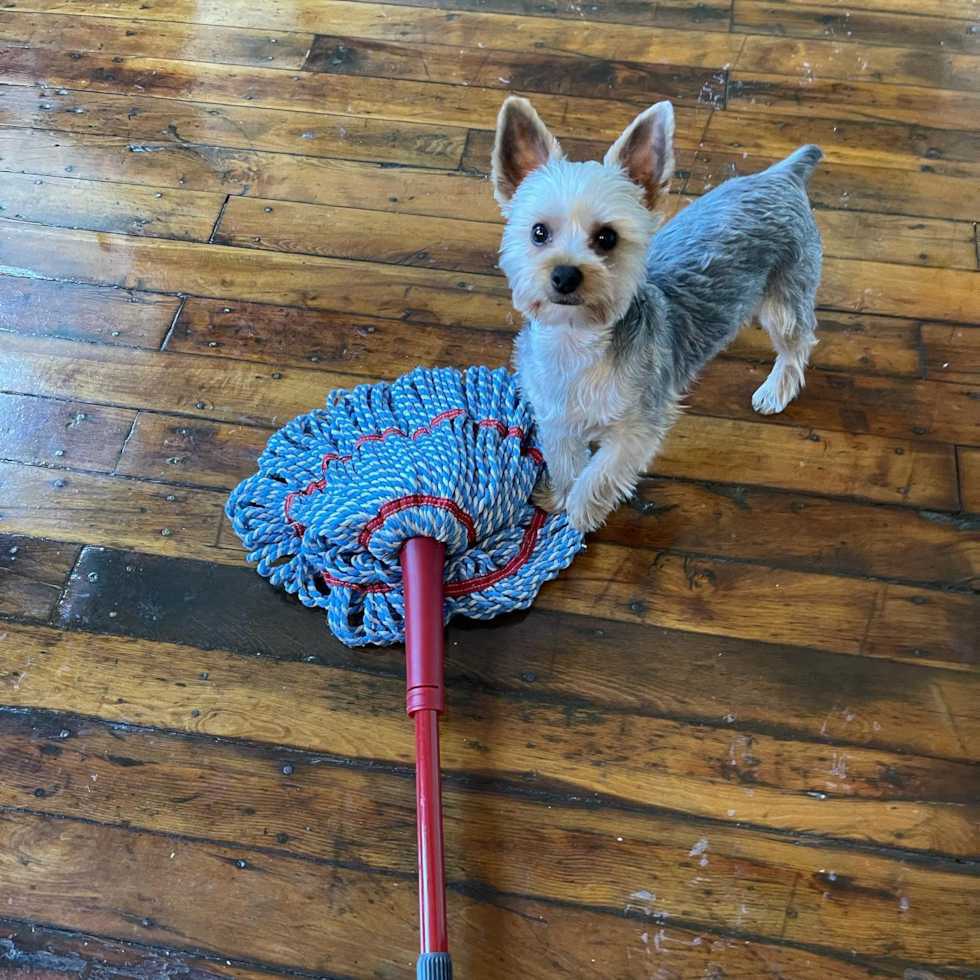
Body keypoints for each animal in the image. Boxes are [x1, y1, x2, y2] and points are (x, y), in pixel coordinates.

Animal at [494, 95, 824, 532]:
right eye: (539, 233)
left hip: (785, 295)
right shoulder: (555, 417)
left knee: (796, 344)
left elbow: (600, 474)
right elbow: (565, 461)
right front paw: (560, 496)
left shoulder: (638, 427)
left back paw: (775, 390)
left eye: (607, 237)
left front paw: (580, 514)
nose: (565, 274)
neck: (577, 341)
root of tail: (783, 174)